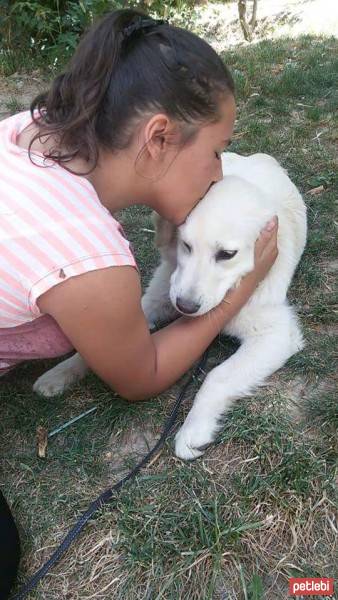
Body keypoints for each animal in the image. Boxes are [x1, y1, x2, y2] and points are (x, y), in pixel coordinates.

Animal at [33, 152, 306, 462]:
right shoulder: (156, 299)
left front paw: (193, 430)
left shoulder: (275, 333)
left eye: (227, 254)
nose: (185, 306)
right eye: (186, 245)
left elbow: (217, 376)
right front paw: (59, 373)